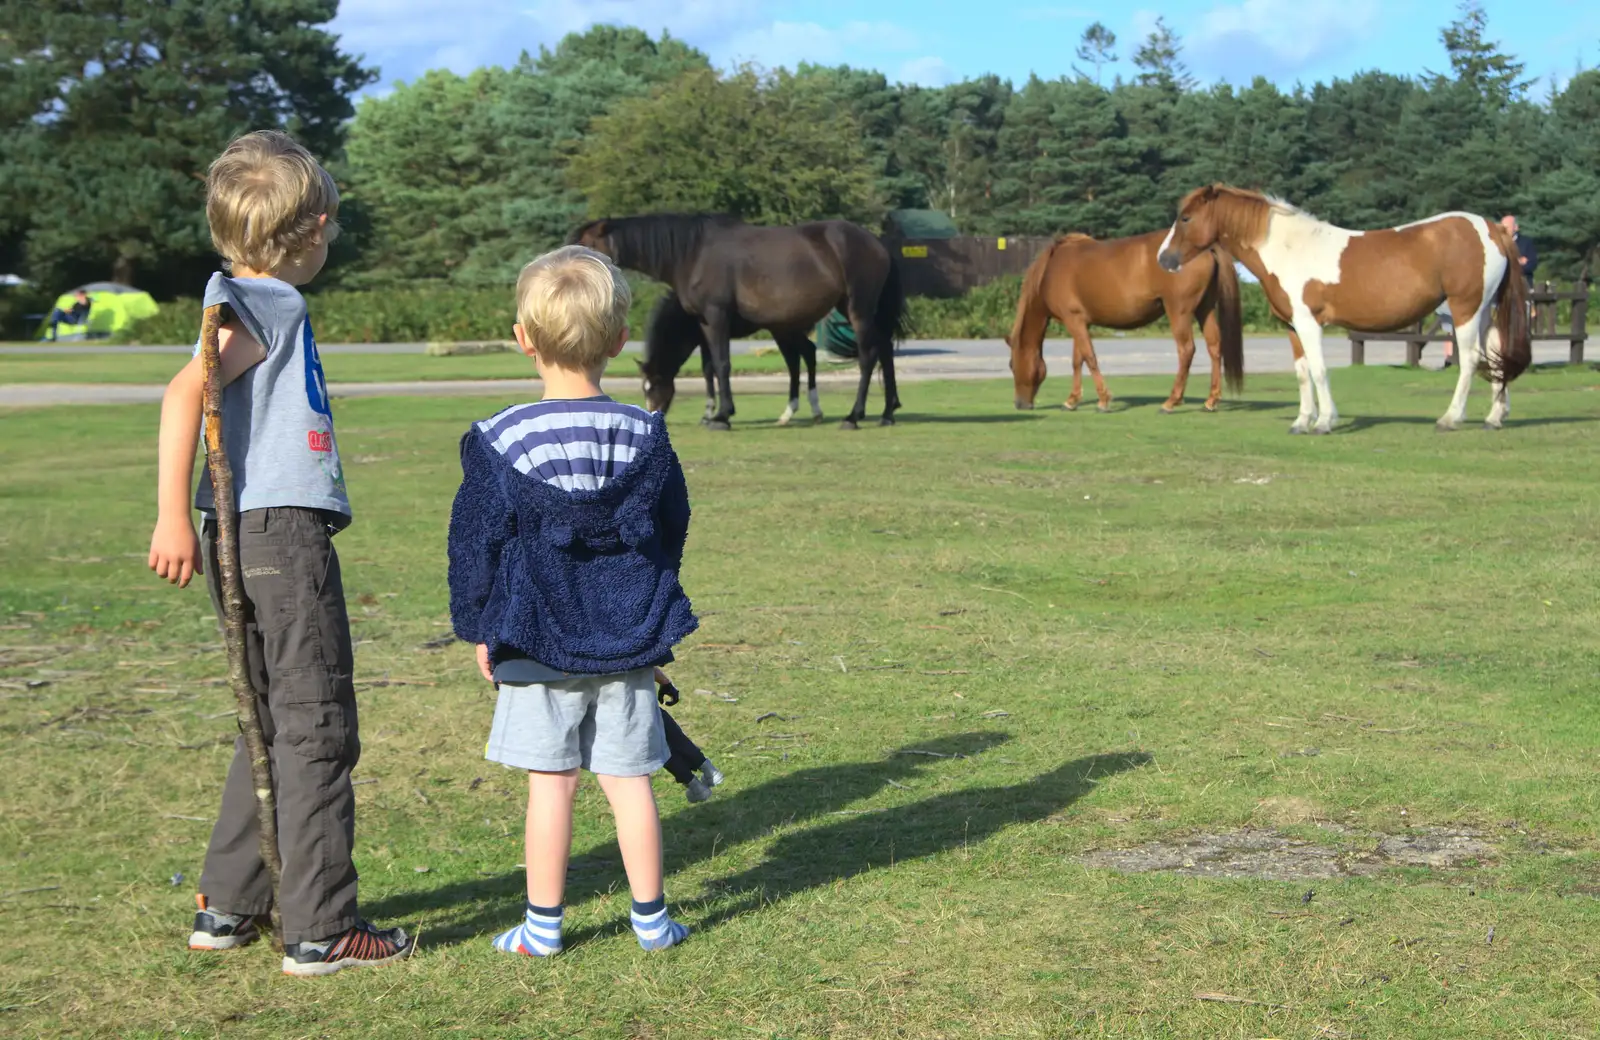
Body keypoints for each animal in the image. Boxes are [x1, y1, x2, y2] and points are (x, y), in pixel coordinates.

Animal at [569, 214, 908, 428]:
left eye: (589, 244)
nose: (654, 415)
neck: (691, 254)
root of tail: (876, 243)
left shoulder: (717, 317)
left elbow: (721, 365)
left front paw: (722, 416)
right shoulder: (705, 324)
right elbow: (710, 369)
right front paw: (714, 413)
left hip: (858, 309)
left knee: (867, 356)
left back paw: (854, 415)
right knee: (884, 351)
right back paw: (887, 412)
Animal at [1004, 233, 1241, 409]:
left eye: (1012, 365)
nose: (1019, 404)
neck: (1051, 269)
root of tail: (1206, 247)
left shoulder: (1073, 321)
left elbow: (1089, 357)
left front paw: (1103, 399)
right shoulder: (1079, 321)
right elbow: (1078, 360)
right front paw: (1072, 400)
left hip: (1179, 311)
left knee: (1186, 350)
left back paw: (1171, 401)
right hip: (1204, 309)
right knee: (1214, 347)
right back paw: (1211, 400)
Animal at [1158, 184, 1529, 432]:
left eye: (1186, 218)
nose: (1164, 259)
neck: (1289, 248)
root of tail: (1492, 228)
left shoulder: (1309, 324)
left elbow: (1320, 370)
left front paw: (1324, 421)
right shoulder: (1293, 327)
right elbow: (1303, 373)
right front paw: (1301, 420)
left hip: (1465, 309)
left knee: (1470, 359)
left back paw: (1451, 418)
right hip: (1483, 311)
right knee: (1494, 354)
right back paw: (1495, 417)